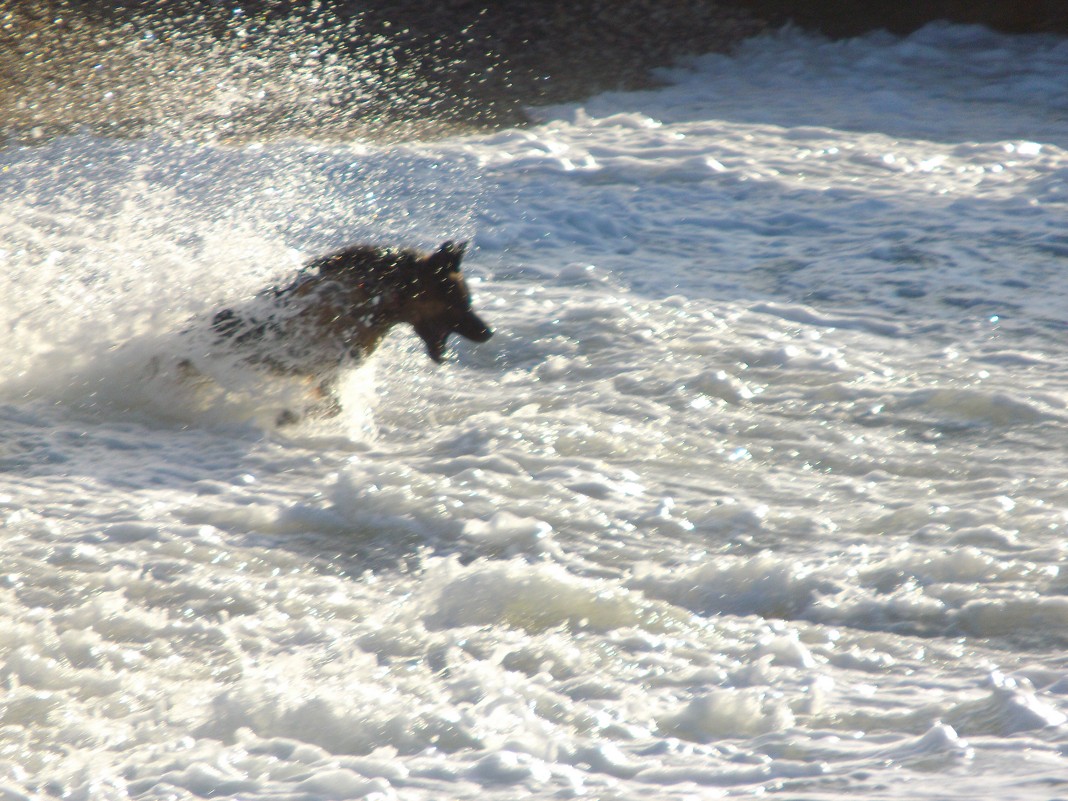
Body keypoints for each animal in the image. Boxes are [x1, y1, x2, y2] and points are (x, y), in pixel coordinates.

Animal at [189, 240, 495, 420]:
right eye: (462, 302)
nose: (489, 332)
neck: (378, 300)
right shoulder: (309, 355)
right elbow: (331, 405)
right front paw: (290, 415)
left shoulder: (327, 370)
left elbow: (333, 406)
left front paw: (294, 414)